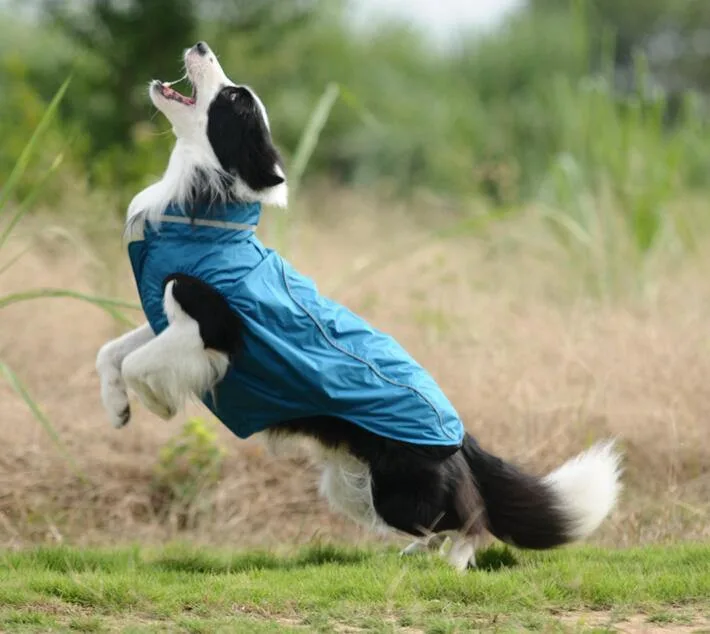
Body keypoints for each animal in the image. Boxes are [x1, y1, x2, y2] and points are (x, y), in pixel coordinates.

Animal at [96, 42, 624, 572]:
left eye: (233, 97)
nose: (202, 46)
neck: (202, 206)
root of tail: (462, 440)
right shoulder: (166, 319)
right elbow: (112, 352)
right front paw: (117, 410)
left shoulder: (212, 329)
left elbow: (140, 363)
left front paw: (158, 404)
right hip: (351, 484)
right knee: (441, 521)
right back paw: (414, 555)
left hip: (397, 488)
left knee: (468, 517)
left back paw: (454, 563)